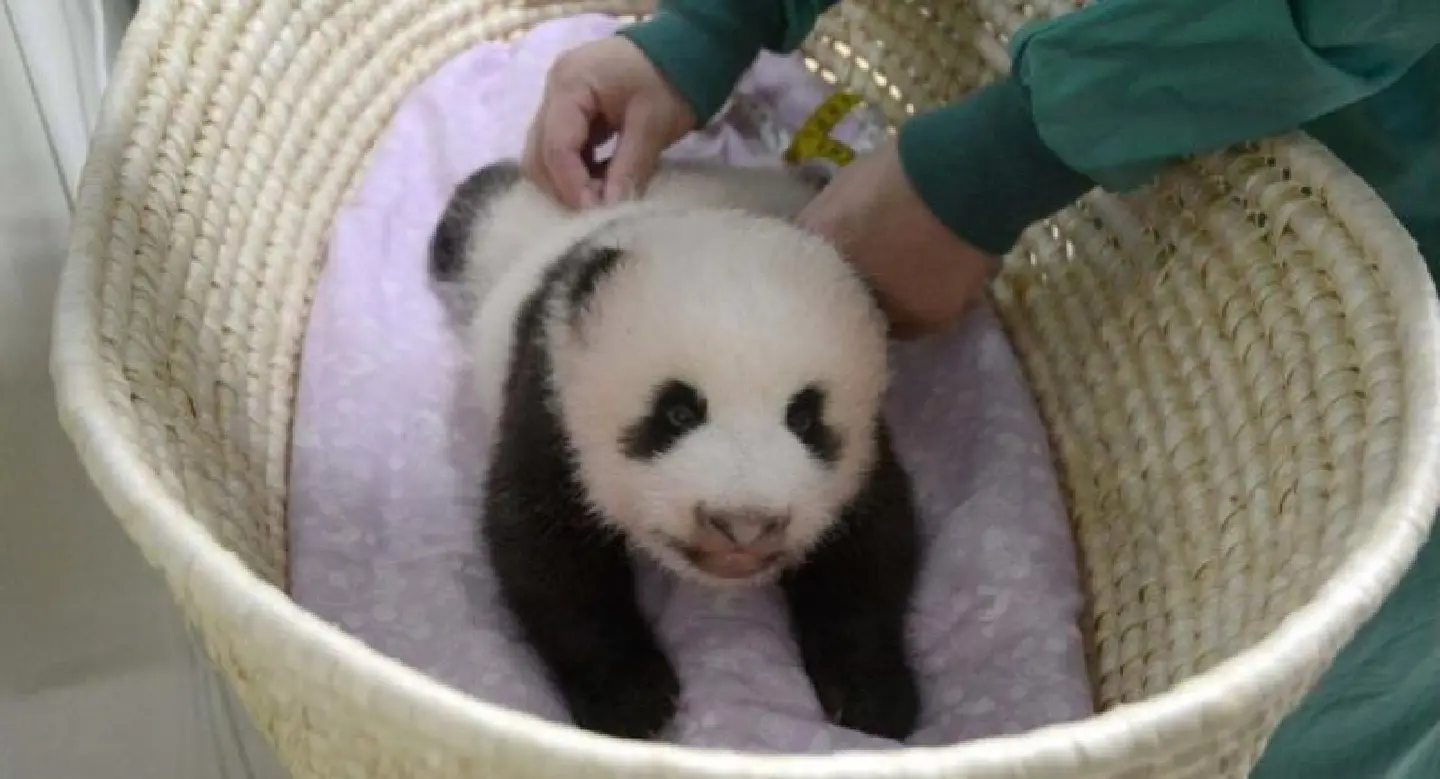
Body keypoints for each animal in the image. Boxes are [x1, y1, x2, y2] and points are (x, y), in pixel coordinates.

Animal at [430, 158, 922, 743]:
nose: (744, 525)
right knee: (478, 210)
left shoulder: (863, 459)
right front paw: (632, 700)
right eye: (678, 412)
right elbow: (546, 552)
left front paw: (873, 695)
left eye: (805, 418)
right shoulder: (551, 398)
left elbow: (872, 549)